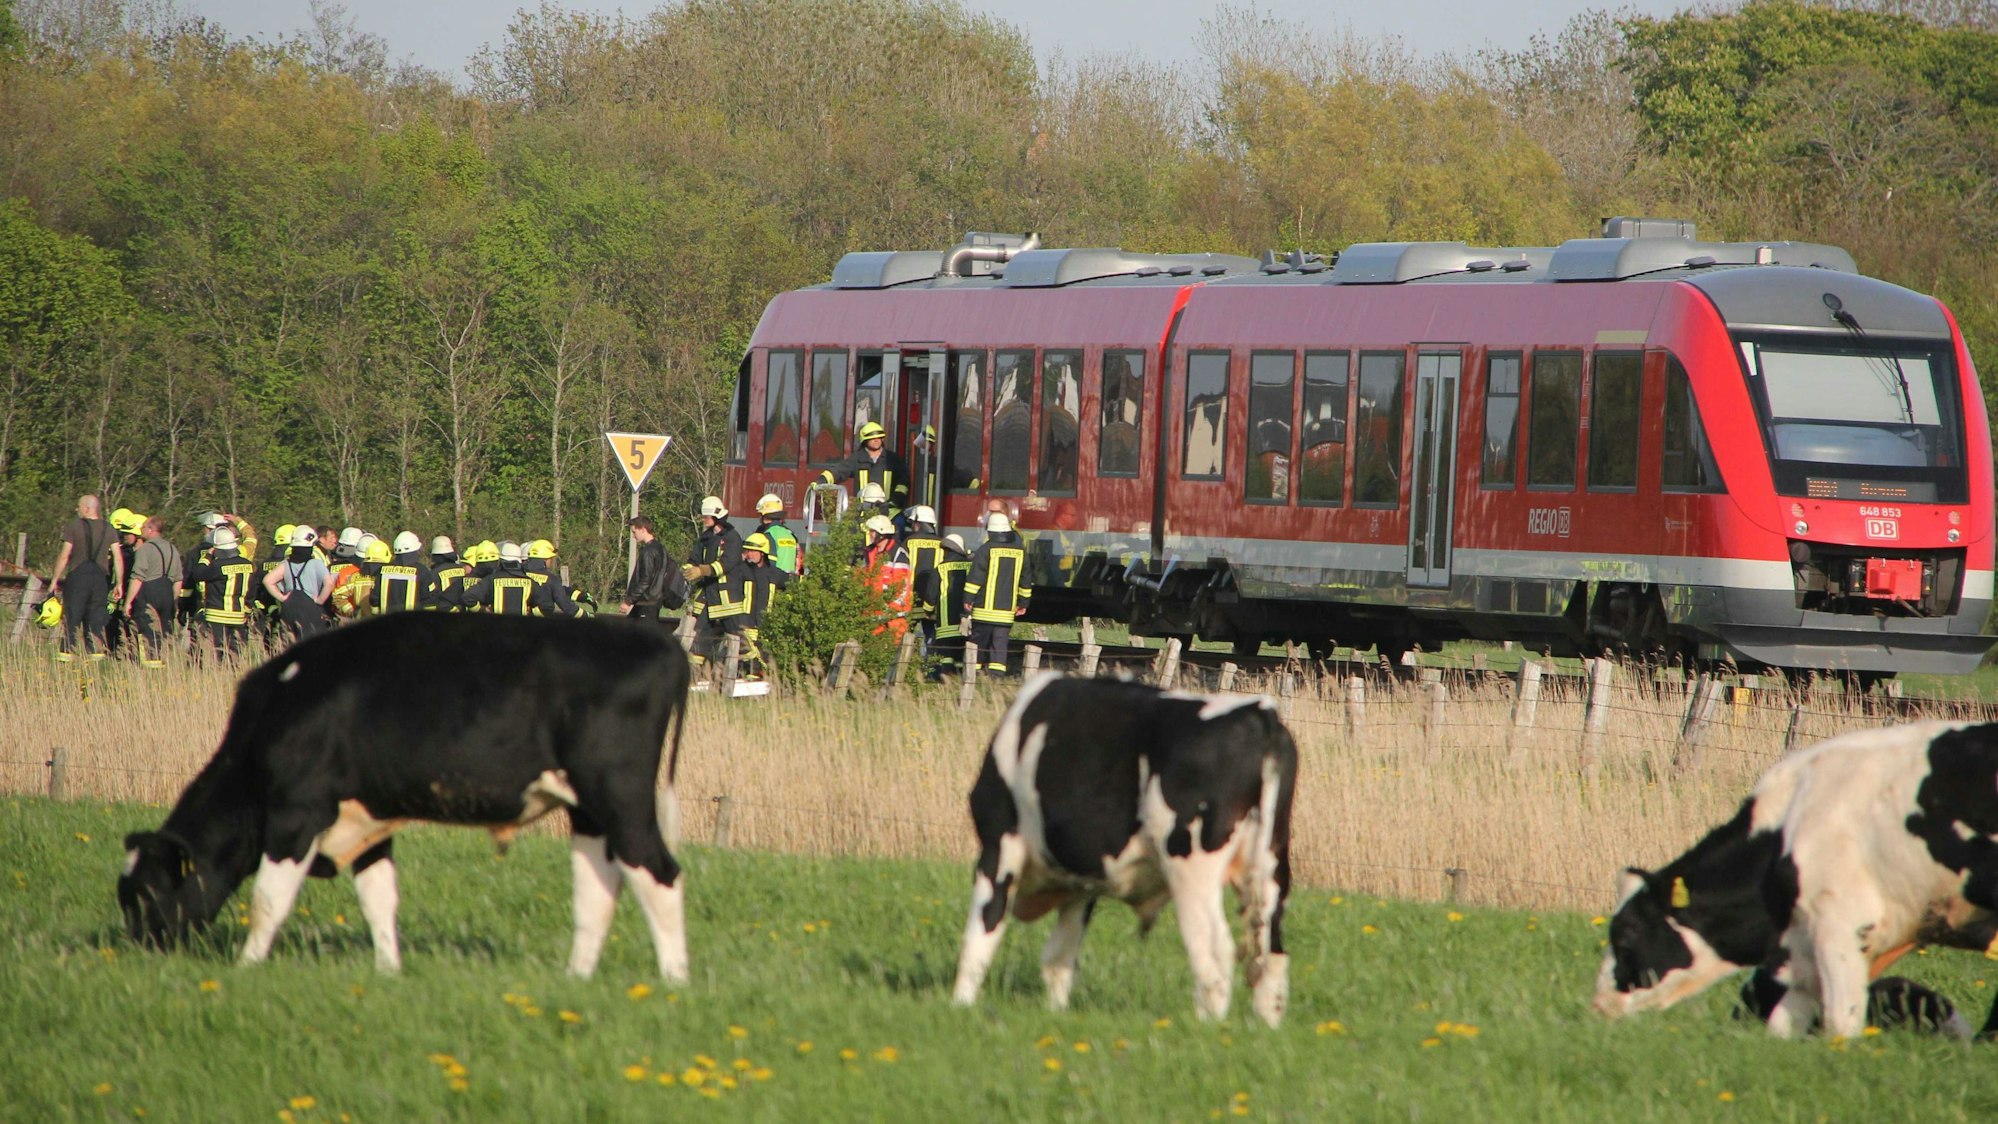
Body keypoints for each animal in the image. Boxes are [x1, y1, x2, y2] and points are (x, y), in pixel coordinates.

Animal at [118, 612, 691, 983]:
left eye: (145, 891)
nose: (140, 952)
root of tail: (658, 643)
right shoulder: (367, 820)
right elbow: (378, 899)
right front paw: (389, 972)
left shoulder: (296, 813)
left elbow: (269, 899)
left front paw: (247, 967)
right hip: (589, 810)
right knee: (599, 889)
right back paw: (576, 977)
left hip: (620, 795)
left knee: (658, 872)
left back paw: (674, 982)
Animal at [950, 674, 1298, 1026]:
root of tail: (1259, 712)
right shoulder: (1081, 883)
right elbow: (1059, 958)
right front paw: (1056, 1014)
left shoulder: (998, 848)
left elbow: (980, 937)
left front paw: (960, 1007)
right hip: (1272, 864)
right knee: (1273, 955)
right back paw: (1263, 1027)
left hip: (1191, 868)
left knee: (1215, 951)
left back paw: (1207, 1026)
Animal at [1596, 721, 1998, 1039]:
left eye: (1625, 933)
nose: (1598, 1004)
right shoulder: (1804, 952)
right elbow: (1782, 1029)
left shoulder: (1840, 926)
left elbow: (1840, 1025)